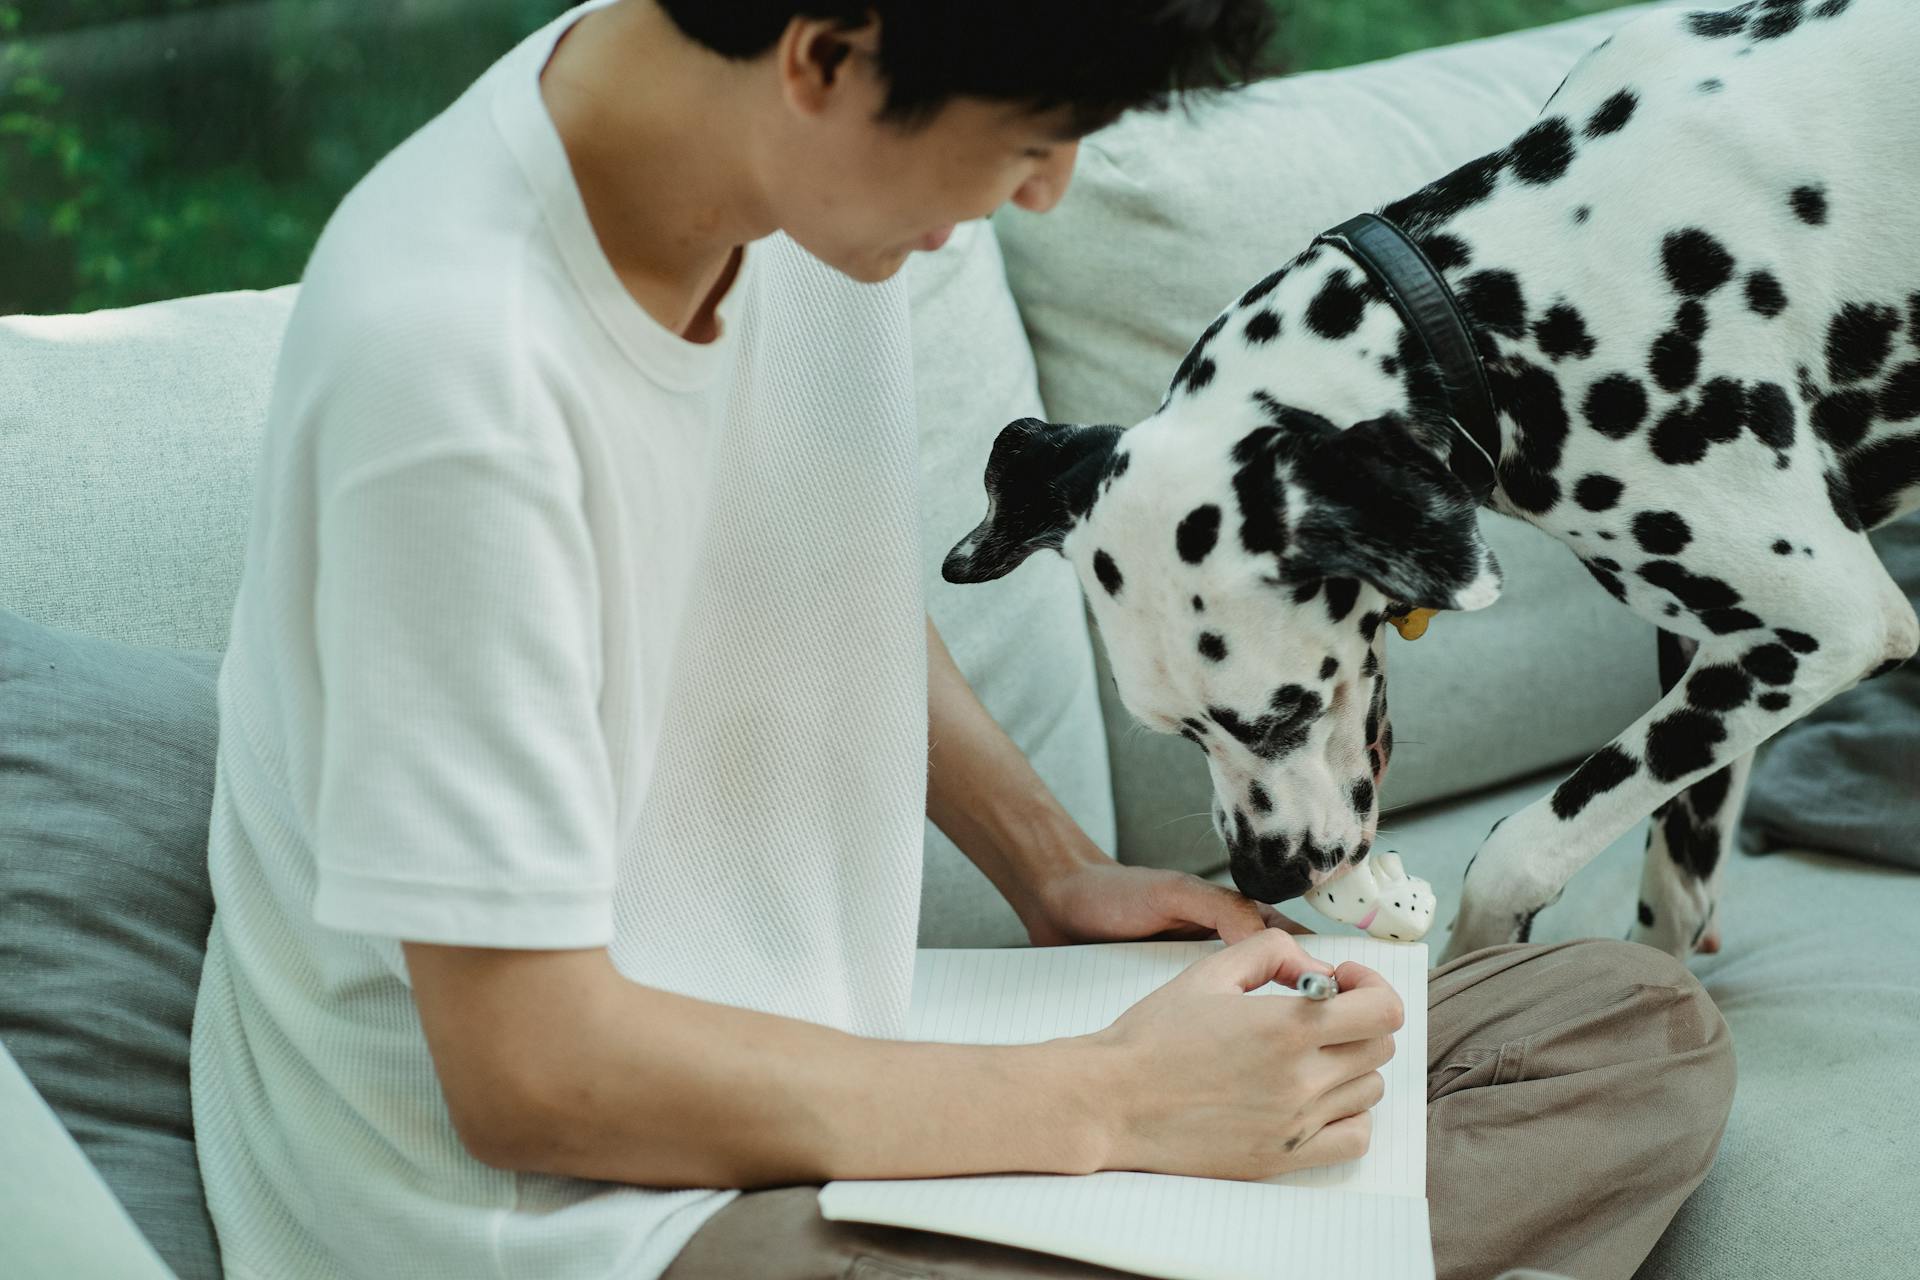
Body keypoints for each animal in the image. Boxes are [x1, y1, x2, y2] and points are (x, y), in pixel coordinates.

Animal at [944, 0, 1920, 959]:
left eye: (1282, 718)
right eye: (1171, 730)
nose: (1267, 876)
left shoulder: (1820, 628)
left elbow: (1518, 847)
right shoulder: (1718, 641)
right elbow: (1675, 880)